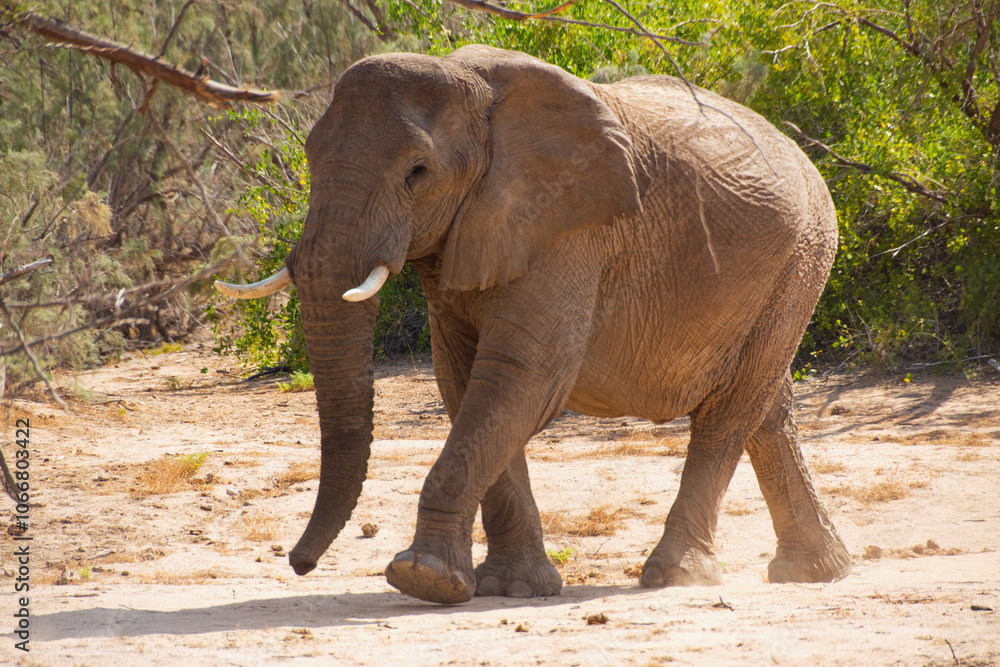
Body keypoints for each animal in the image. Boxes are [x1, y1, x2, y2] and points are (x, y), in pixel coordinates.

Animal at [216, 44, 851, 604]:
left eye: (417, 172)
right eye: (308, 155)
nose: (299, 564)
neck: (473, 91)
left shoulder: (568, 229)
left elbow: (523, 376)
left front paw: (422, 578)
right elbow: (465, 381)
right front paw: (510, 588)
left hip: (803, 258)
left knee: (729, 412)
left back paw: (677, 576)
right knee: (767, 408)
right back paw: (816, 572)